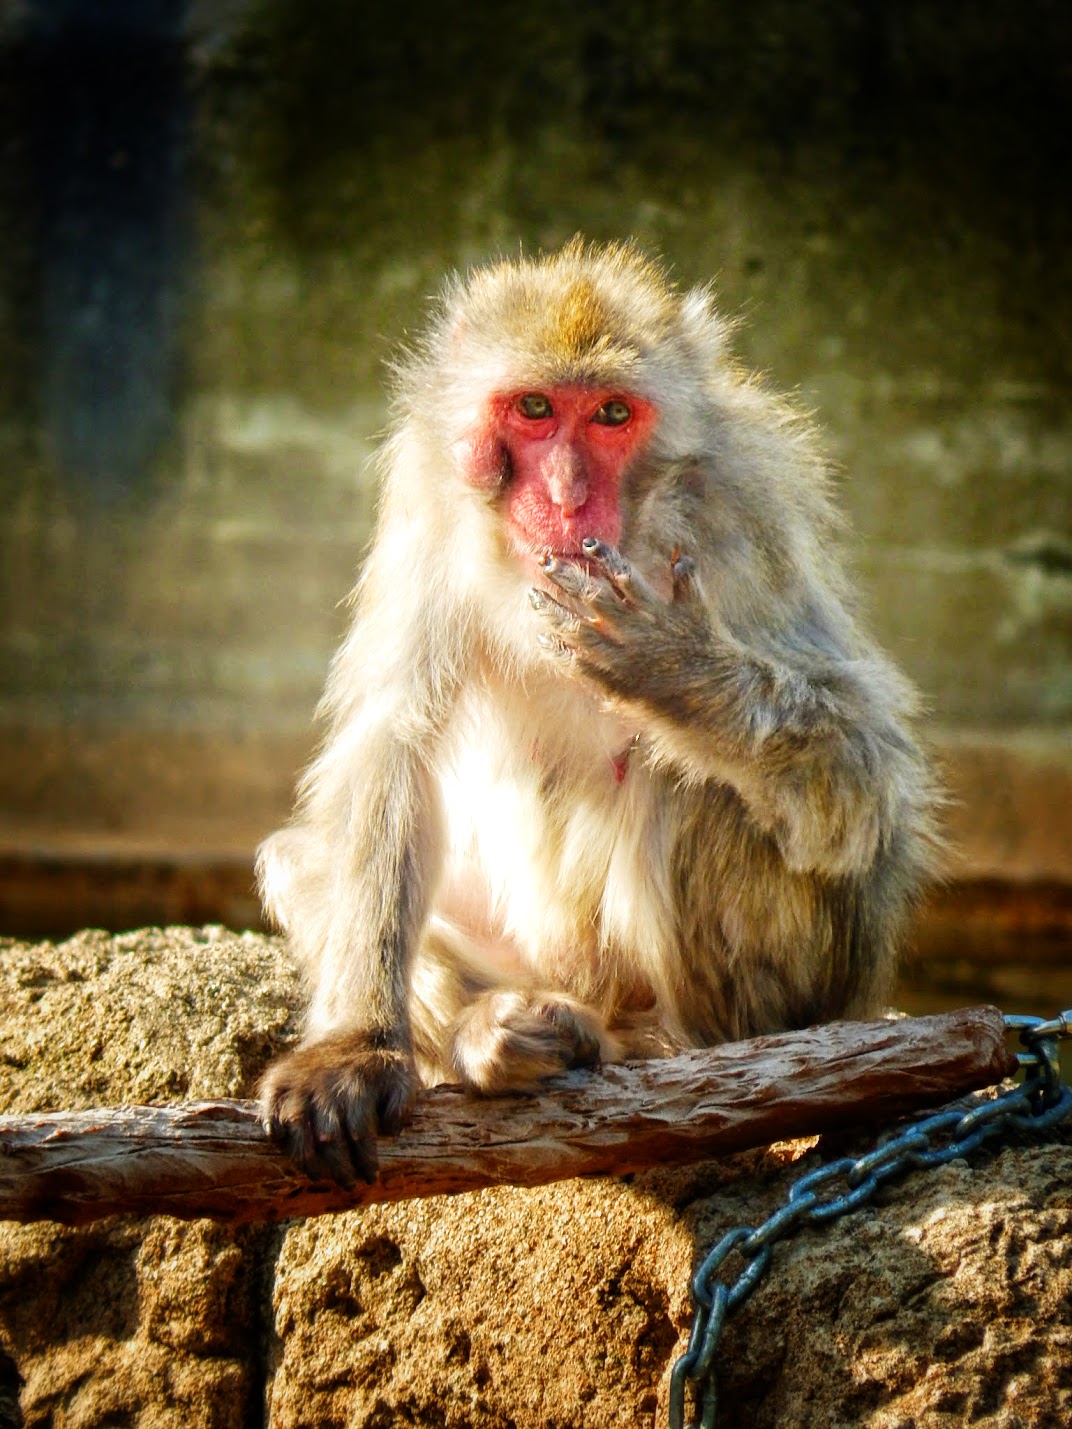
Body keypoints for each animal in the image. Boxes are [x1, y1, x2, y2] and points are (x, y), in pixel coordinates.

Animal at [257, 239, 938, 1185]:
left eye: (613, 414)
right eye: (536, 409)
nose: (569, 494)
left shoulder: (738, 513)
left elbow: (864, 778)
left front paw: (674, 669)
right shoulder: (429, 499)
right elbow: (394, 743)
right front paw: (355, 1048)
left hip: (808, 976)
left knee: (695, 782)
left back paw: (670, 1043)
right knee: (302, 859)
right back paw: (501, 1036)